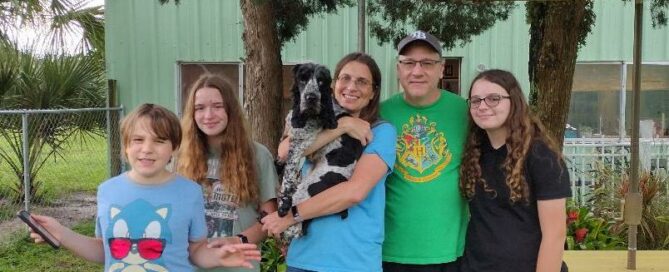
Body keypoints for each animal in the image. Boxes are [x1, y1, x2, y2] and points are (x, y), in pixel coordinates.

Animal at [276, 63, 362, 240]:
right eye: (302, 78)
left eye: (321, 81)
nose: (311, 98)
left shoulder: (301, 141)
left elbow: (288, 173)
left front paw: (283, 200)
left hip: (307, 190)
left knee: (297, 226)